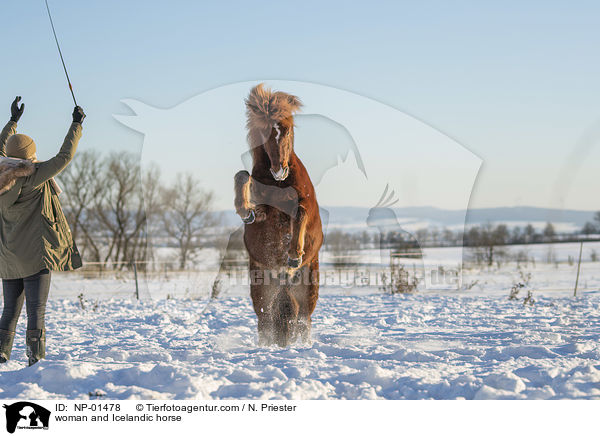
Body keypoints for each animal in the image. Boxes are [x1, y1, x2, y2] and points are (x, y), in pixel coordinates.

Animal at [233, 83, 324, 346]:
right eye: (265, 133)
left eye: (288, 130)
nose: (279, 170)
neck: (280, 185)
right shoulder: (265, 211)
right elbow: (241, 176)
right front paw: (245, 212)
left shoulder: (304, 205)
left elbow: (301, 212)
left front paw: (294, 255)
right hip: (262, 290)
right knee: (266, 321)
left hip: (307, 288)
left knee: (303, 321)